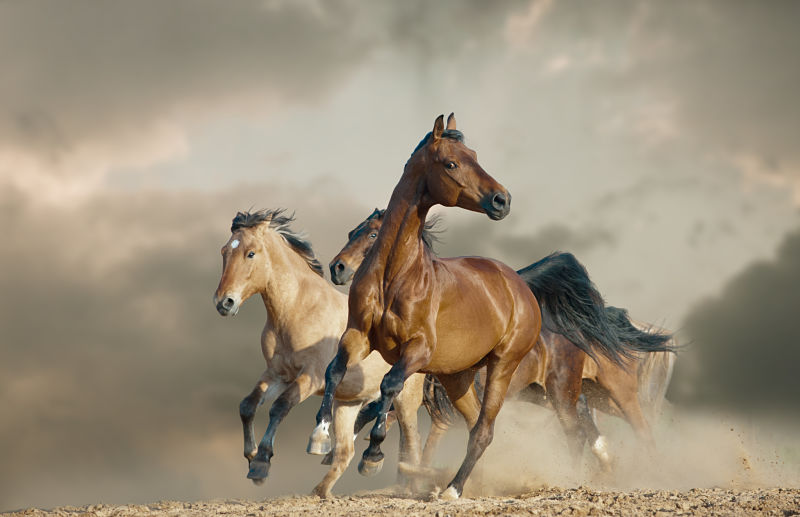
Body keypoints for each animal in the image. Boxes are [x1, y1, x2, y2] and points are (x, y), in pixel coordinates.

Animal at [212, 209, 428, 496]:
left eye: (250, 253)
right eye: (225, 251)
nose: (224, 302)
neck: (297, 309)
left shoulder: (310, 377)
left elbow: (280, 407)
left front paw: (261, 463)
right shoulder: (277, 374)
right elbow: (247, 406)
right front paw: (251, 456)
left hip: (405, 400)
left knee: (411, 444)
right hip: (347, 404)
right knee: (346, 451)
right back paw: (321, 491)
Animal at [330, 209, 676, 472]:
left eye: (373, 235)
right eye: (350, 232)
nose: (338, 268)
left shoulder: (443, 402)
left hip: (619, 394)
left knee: (643, 429)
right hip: (571, 394)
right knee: (594, 430)